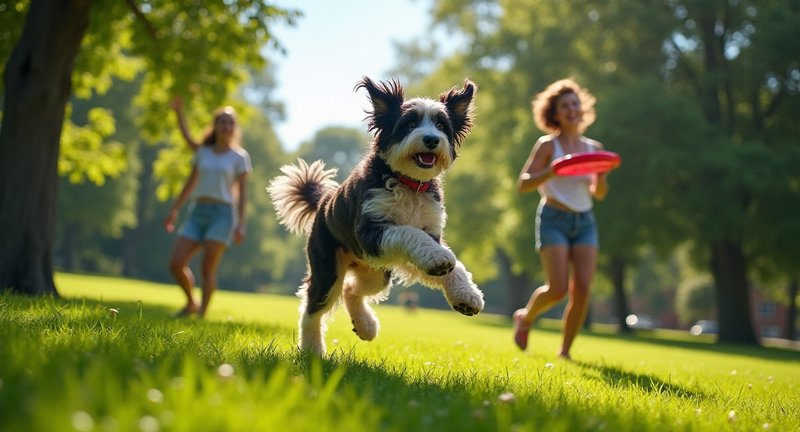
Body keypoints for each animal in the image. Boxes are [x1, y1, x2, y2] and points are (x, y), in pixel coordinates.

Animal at [268, 77, 484, 354]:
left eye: (440, 125)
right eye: (409, 123)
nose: (431, 139)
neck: (409, 184)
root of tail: (323, 201)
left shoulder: (427, 233)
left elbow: (453, 264)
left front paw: (467, 295)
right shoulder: (371, 230)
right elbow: (410, 233)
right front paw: (440, 260)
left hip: (375, 272)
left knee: (351, 290)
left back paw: (365, 326)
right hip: (328, 267)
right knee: (312, 307)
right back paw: (312, 349)